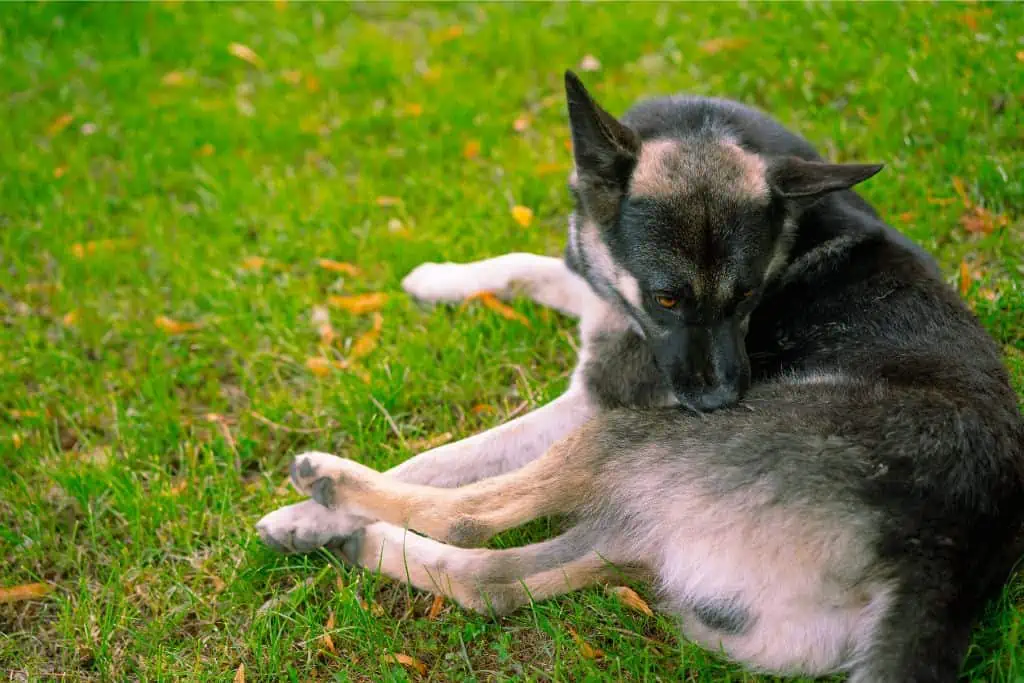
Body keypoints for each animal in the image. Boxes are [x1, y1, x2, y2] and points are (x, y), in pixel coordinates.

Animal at [251, 72, 1019, 679]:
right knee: (499, 582)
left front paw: (306, 510)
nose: (721, 400)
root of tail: (946, 557)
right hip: (643, 531)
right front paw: (437, 278)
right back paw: (354, 540)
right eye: (667, 298)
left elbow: (442, 461)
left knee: (471, 518)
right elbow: (525, 263)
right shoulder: (593, 288)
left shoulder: (595, 400)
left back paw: (325, 492)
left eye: (749, 296)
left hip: (629, 440)